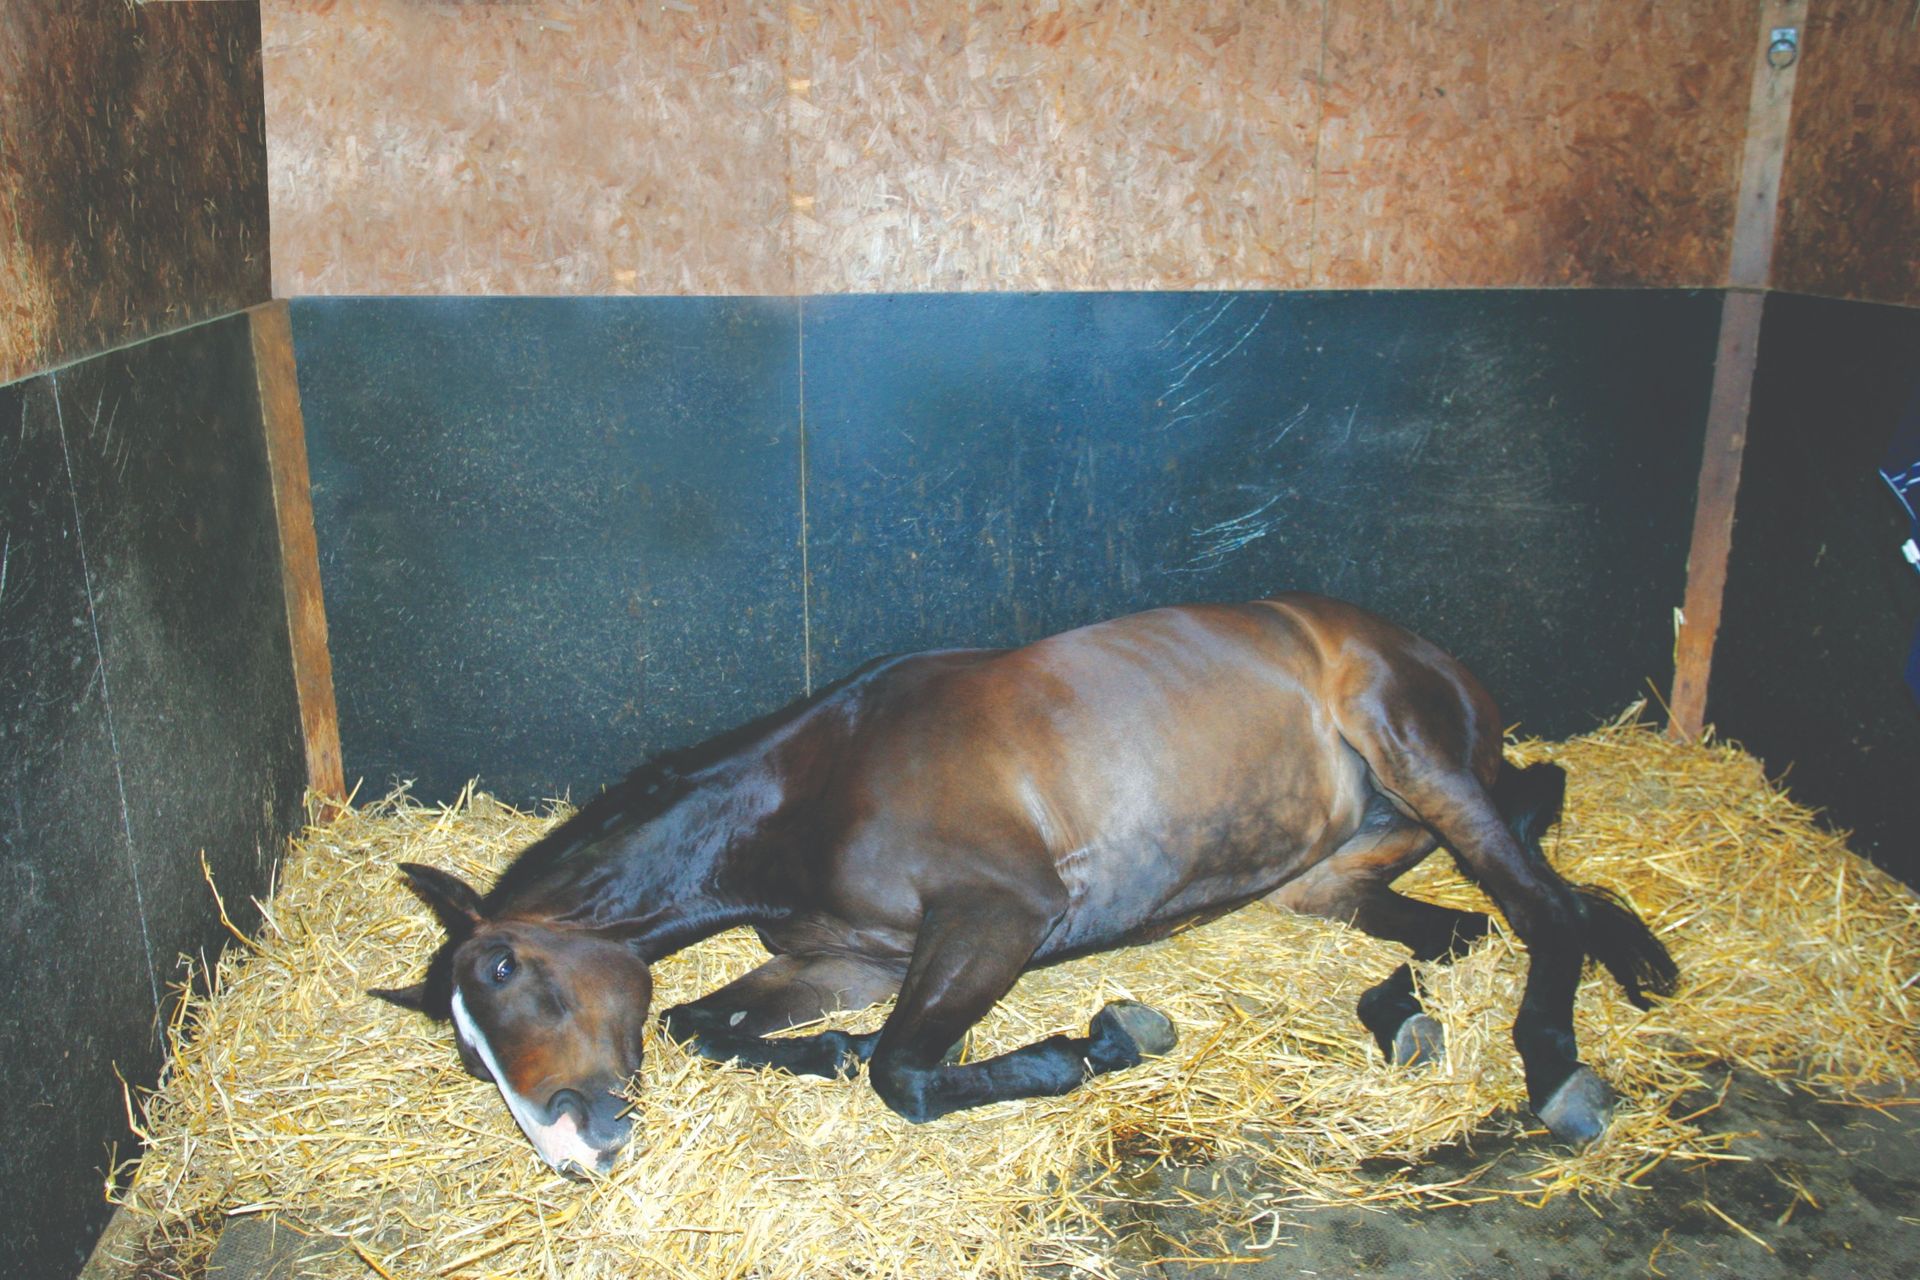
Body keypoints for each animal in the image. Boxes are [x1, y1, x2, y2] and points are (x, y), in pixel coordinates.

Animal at [373, 594, 1676, 1176]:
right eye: (464, 1054)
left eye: (508, 966)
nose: (570, 1146)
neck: (811, 790)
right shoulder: (848, 958)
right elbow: (711, 1021)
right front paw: (830, 1051)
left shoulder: (997, 915)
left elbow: (907, 1070)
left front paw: (1097, 1040)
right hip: (1332, 862)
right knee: (1501, 885)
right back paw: (1594, 960)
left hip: (1416, 750)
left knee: (1538, 899)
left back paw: (1561, 1065)